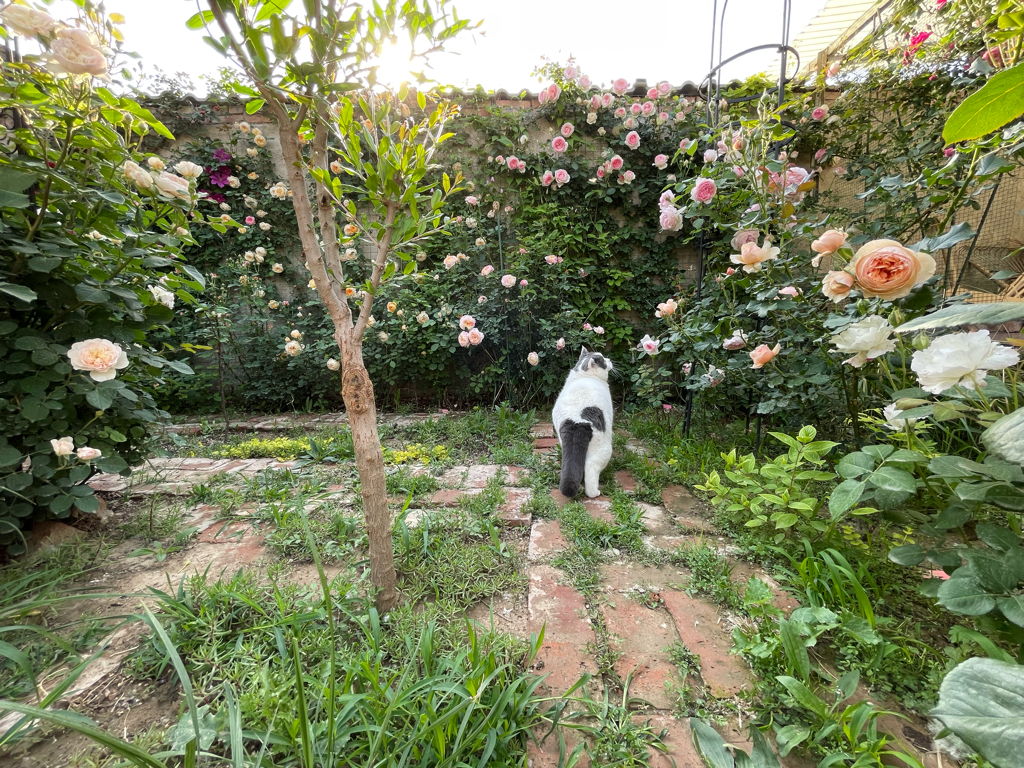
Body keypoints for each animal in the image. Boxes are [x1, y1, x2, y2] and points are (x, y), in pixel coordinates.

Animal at [552, 347, 614, 498]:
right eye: (604, 360)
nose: (609, 359)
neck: (585, 375)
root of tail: (577, 422)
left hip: (564, 443)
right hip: (604, 450)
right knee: (590, 468)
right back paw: (595, 492)